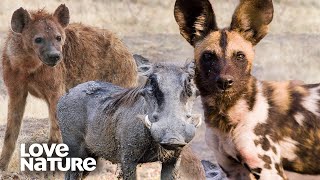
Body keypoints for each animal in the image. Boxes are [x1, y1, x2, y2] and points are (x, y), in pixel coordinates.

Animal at [0, 3, 138, 170]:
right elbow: (10, 131)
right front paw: (2, 166)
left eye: (58, 37)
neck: (28, 66)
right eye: (38, 39)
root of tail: (124, 47)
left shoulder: (56, 90)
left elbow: (55, 129)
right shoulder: (15, 90)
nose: (54, 56)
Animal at [174, 0, 320, 179]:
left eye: (240, 56)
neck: (225, 117)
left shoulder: (270, 171)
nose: (225, 82)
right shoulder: (235, 170)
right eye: (208, 56)